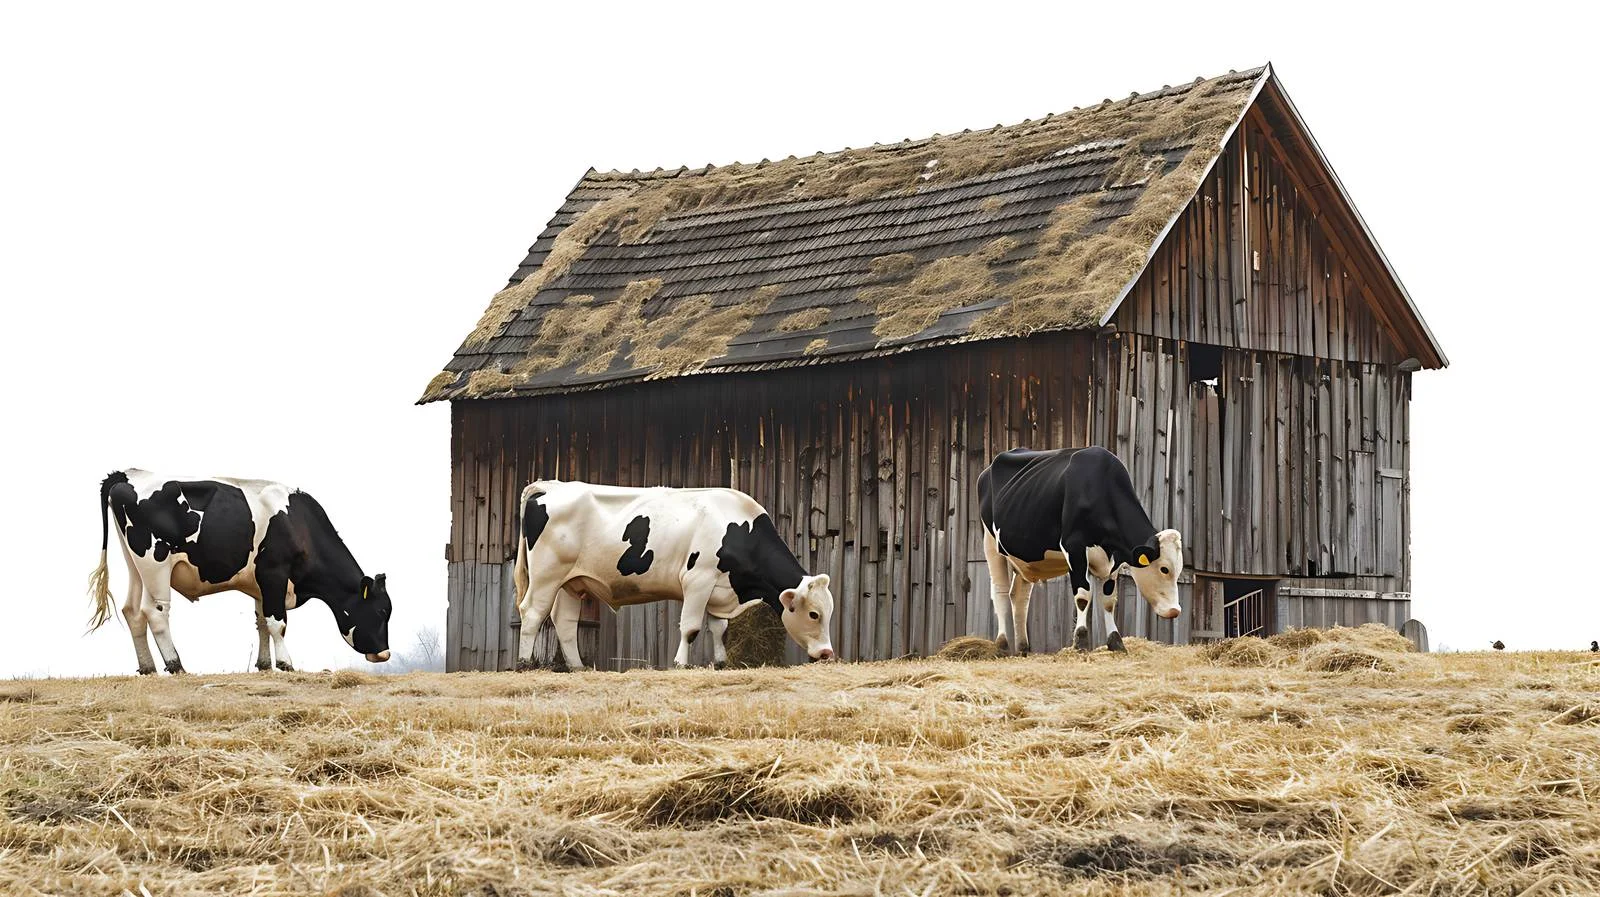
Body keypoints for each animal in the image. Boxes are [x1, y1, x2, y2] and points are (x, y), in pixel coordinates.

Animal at [86, 470, 394, 674]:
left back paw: (148, 667)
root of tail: (127, 475)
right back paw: (176, 665)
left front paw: (265, 664)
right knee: (156, 612)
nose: (384, 654)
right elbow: (277, 622)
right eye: (381, 611)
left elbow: (261, 622)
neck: (298, 524)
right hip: (156, 563)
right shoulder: (274, 573)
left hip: (135, 564)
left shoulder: (260, 583)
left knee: (132, 611)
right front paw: (286, 663)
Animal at [513, 481, 835, 670]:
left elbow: (718, 628)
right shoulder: (698, 580)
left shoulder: (718, 588)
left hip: (571, 582)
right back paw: (524, 662)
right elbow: (691, 628)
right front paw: (681, 663)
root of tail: (552, 486)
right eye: (814, 614)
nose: (827, 653)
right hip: (546, 575)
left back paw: (577, 667)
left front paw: (720, 662)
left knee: (564, 622)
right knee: (532, 613)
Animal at [979, 446, 1183, 655]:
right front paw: (1081, 642)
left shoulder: (1113, 560)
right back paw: (1002, 646)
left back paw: (1023, 648)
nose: (1175, 611)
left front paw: (1116, 642)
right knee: (1000, 592)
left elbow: (1108, 601)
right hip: (990, 543)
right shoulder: (1074, 547)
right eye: (1164, 569)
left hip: (1026, 557)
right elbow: (1083, 596)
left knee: (1019, 596)